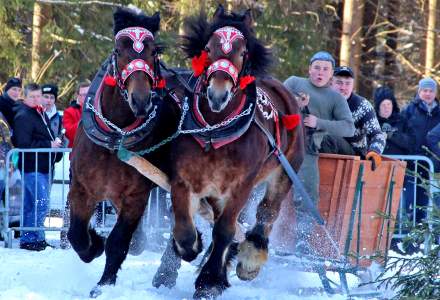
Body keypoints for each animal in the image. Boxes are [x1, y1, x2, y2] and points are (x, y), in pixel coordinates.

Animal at [67, 7, 180, 298]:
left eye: (154, 51)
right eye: (119, 51)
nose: (140, 100)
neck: (116, 136)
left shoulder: (135, 196)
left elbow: (118, 243)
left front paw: (103, 286)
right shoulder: (81, 187)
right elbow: (76, 235)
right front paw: (95, 243)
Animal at [158, 5, 306, 298]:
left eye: (241, 51)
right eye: (208, 47)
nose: (218, 94)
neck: (215, 130)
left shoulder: (241, 185)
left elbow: (224, 231)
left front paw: (209, 282)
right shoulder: (183, 180)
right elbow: (184, 227)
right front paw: (191, 247)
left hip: (285, 171)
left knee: (266, 213)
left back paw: (250, 257)